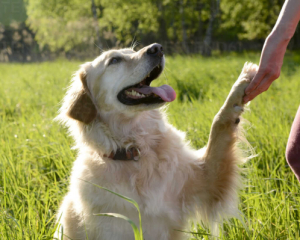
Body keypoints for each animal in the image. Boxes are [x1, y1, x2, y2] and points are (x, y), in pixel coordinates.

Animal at [54, 43, 258, 240]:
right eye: (114, 60)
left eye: (133, 50)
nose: (157, 48)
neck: (137, 151)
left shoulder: (207, 181)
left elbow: (219, 125)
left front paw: (242, 82)